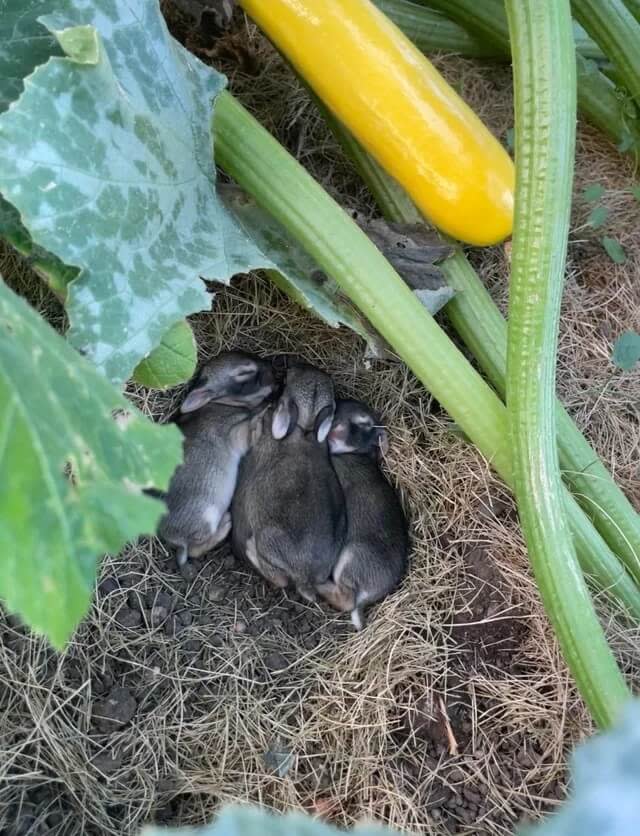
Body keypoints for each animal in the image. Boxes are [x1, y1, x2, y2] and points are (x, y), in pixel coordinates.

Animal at [159, 352, 276, 568]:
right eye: (243, 373)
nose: (272, 370)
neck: (222, 402)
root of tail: (177, 542)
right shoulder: (235, 435)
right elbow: (250, 431)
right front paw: (262, 414)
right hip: (206, 515)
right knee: (196, 548)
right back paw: (226, 524)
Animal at [232, 360, 348, 600]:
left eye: (286, 382)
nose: (293, 367)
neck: (304, 428)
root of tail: (305, 577)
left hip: (268, 543)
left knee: (279, 579)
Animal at [320, 398, 410, 628]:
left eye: (365, 424)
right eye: (335, 411)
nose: (335, 431)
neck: (351, 454)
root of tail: (369, 596)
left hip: (349, 559)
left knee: (345, 598)